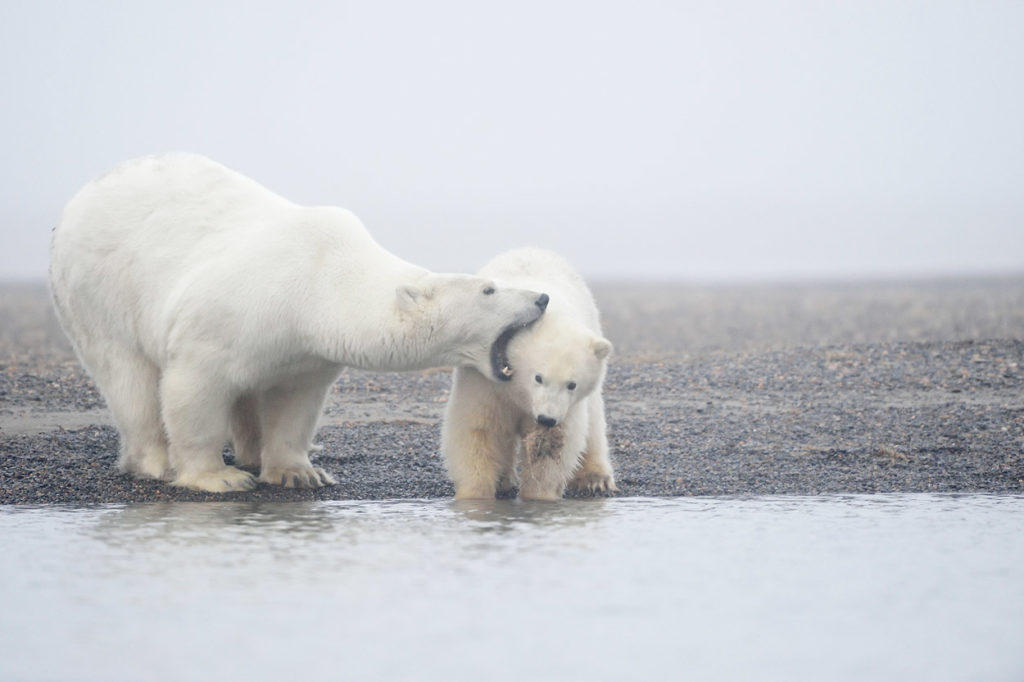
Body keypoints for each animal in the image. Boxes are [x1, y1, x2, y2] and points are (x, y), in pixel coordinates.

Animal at [51, 152, 548, 493]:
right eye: (489, 289)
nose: (542, 297)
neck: (320, 283)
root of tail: (81, 197)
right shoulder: (228, 318)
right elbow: (194, 388)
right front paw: (217, 477)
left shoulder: (305, 348)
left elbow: (294, 403)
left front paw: (299, 472)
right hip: (98, 293)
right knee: (129, 378)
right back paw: (157, 460)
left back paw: (252, 452)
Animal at [442, 246, 614, 497]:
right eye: (538, 377)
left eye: (572, 384)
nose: (546, 418)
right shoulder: (484, 384)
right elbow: (477, 430)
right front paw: (475, 495)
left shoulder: (564, 409)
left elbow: (552, 447)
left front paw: (537, 496)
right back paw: (504, 479)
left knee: (593, 420)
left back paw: (595, 479)